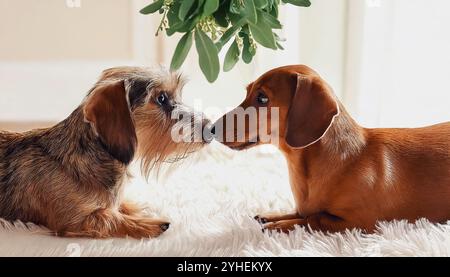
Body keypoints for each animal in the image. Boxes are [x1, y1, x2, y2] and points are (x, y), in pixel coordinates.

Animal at [0, 66, 211, 237]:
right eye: (161, 98)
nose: (211, 128)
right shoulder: (73, 220)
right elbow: (108, 217)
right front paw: (147, 224)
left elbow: (120, 205)